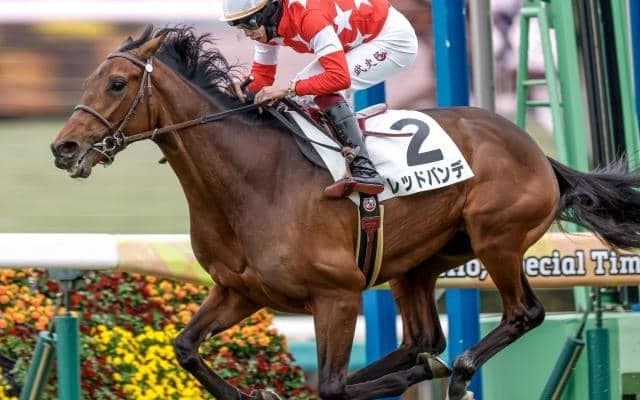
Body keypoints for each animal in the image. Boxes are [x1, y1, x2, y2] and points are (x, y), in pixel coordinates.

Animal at [50, 26, 640, 400]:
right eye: (88, 81)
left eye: (117, 83)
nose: (64, 148)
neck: (252, 183)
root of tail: (538, 154)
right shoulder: (239, 290)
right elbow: (186, 348)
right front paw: (252, 393)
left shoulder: (337, 293)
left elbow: (332, 385)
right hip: (417, 263)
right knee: (422, 339)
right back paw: (430, 362)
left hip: (496, 237)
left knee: (522, 314)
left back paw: (457, 369)